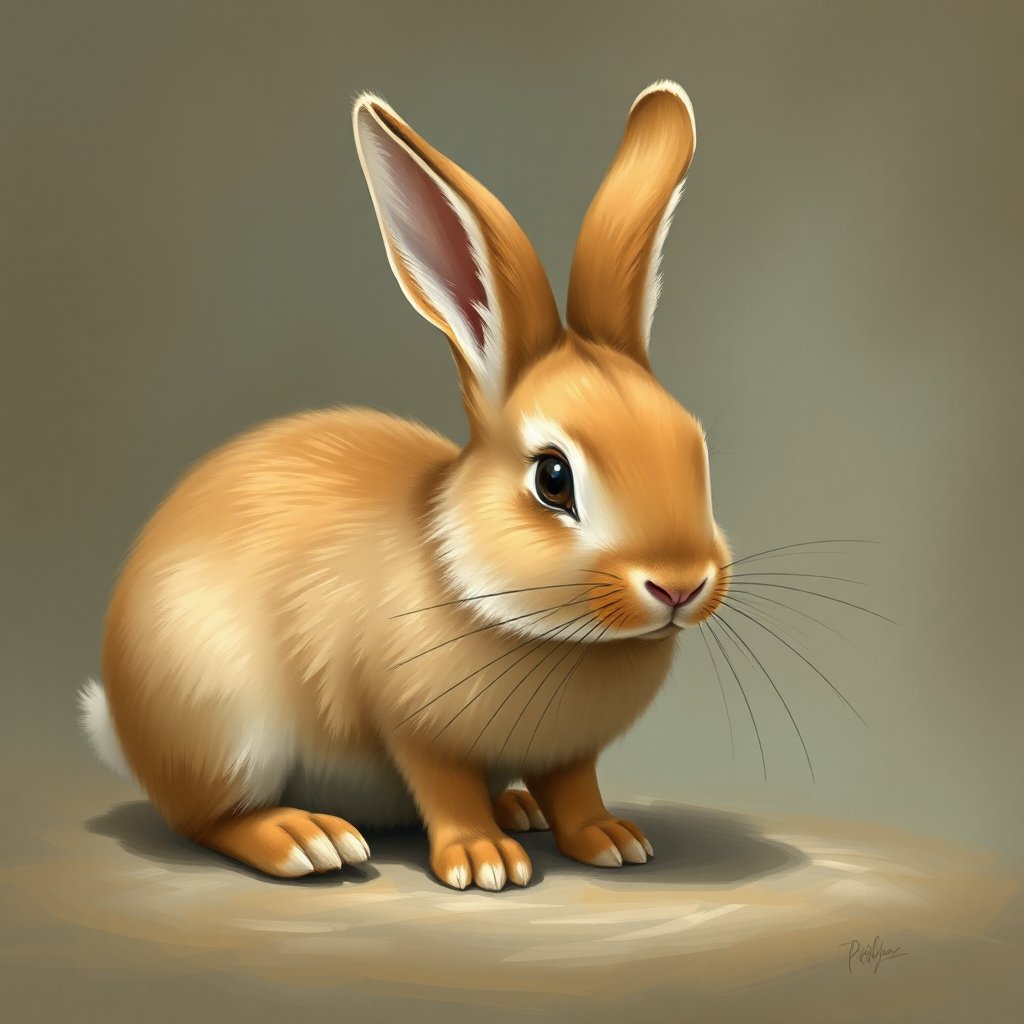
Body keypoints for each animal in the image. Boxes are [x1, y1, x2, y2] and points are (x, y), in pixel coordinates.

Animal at [79, 79, 730, 891]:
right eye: (553, 479)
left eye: (696, 447)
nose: (680, 584)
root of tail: (120, 723)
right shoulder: (415, 727)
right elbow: (445, 786)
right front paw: (484, 862)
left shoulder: (568, 755)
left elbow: (575, 787)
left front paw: (610, 839)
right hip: (222, 725)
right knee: (205, 819)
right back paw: (307, 840)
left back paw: (517, 808)